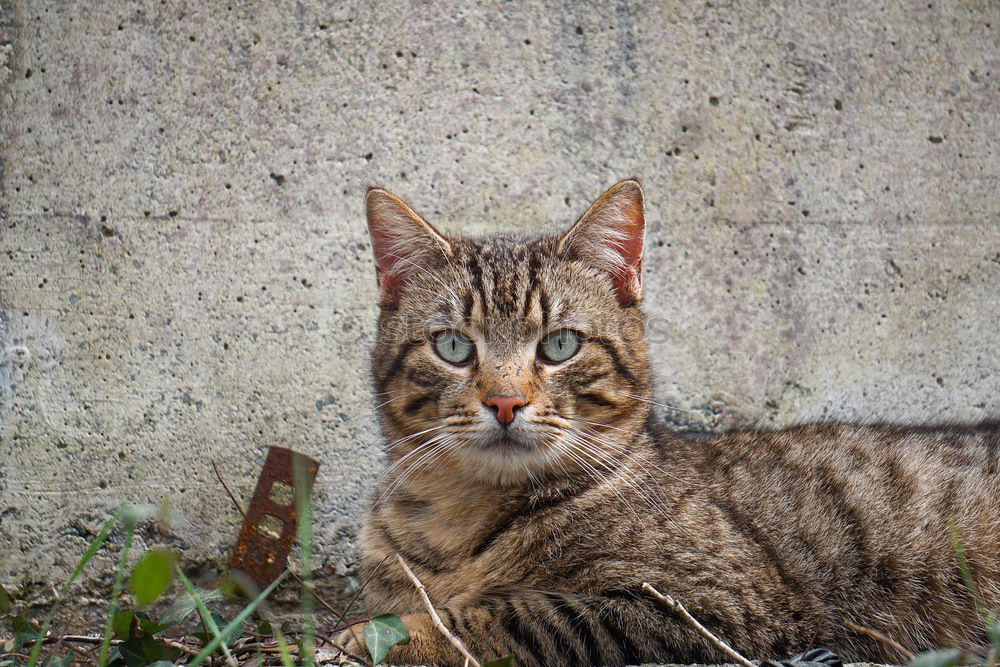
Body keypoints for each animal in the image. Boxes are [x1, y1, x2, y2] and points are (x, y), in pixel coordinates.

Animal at [338, 180, 1000, 664]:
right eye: (453, 346)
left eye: (559, 345)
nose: (504, 402)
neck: (459, 517)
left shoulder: (717, 605)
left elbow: (518, 614)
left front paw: (388, 636)